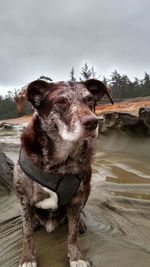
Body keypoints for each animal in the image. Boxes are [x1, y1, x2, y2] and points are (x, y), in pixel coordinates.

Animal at [13, 78, 113, 266]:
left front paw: (76, 257)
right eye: (61, 102)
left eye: (89, 100)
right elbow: (28, 233)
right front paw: (28, 258)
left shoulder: (77, 198)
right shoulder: (24, 198)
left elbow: (72, 234)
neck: (60, 162)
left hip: (87, 190)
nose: (93, 122)